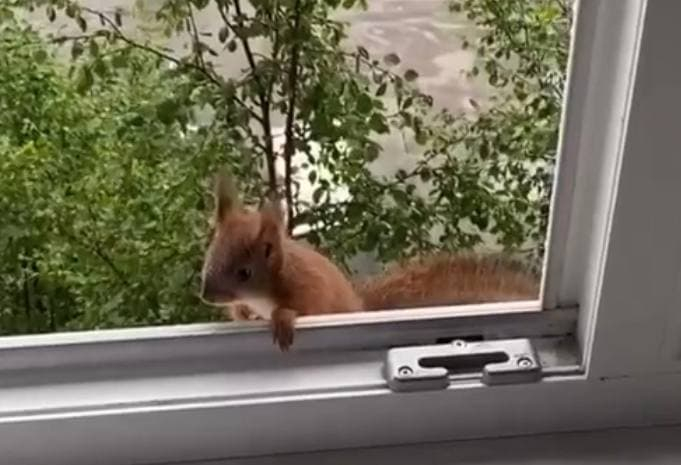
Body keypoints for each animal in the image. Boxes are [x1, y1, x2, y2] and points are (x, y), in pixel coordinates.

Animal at [199, 169, 363, 351]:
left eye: (245, 273)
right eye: (209, 255)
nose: (207, 296)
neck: (259, 297)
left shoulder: (310, 287)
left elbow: (306, 309)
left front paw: (282, 318)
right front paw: (243, 313)